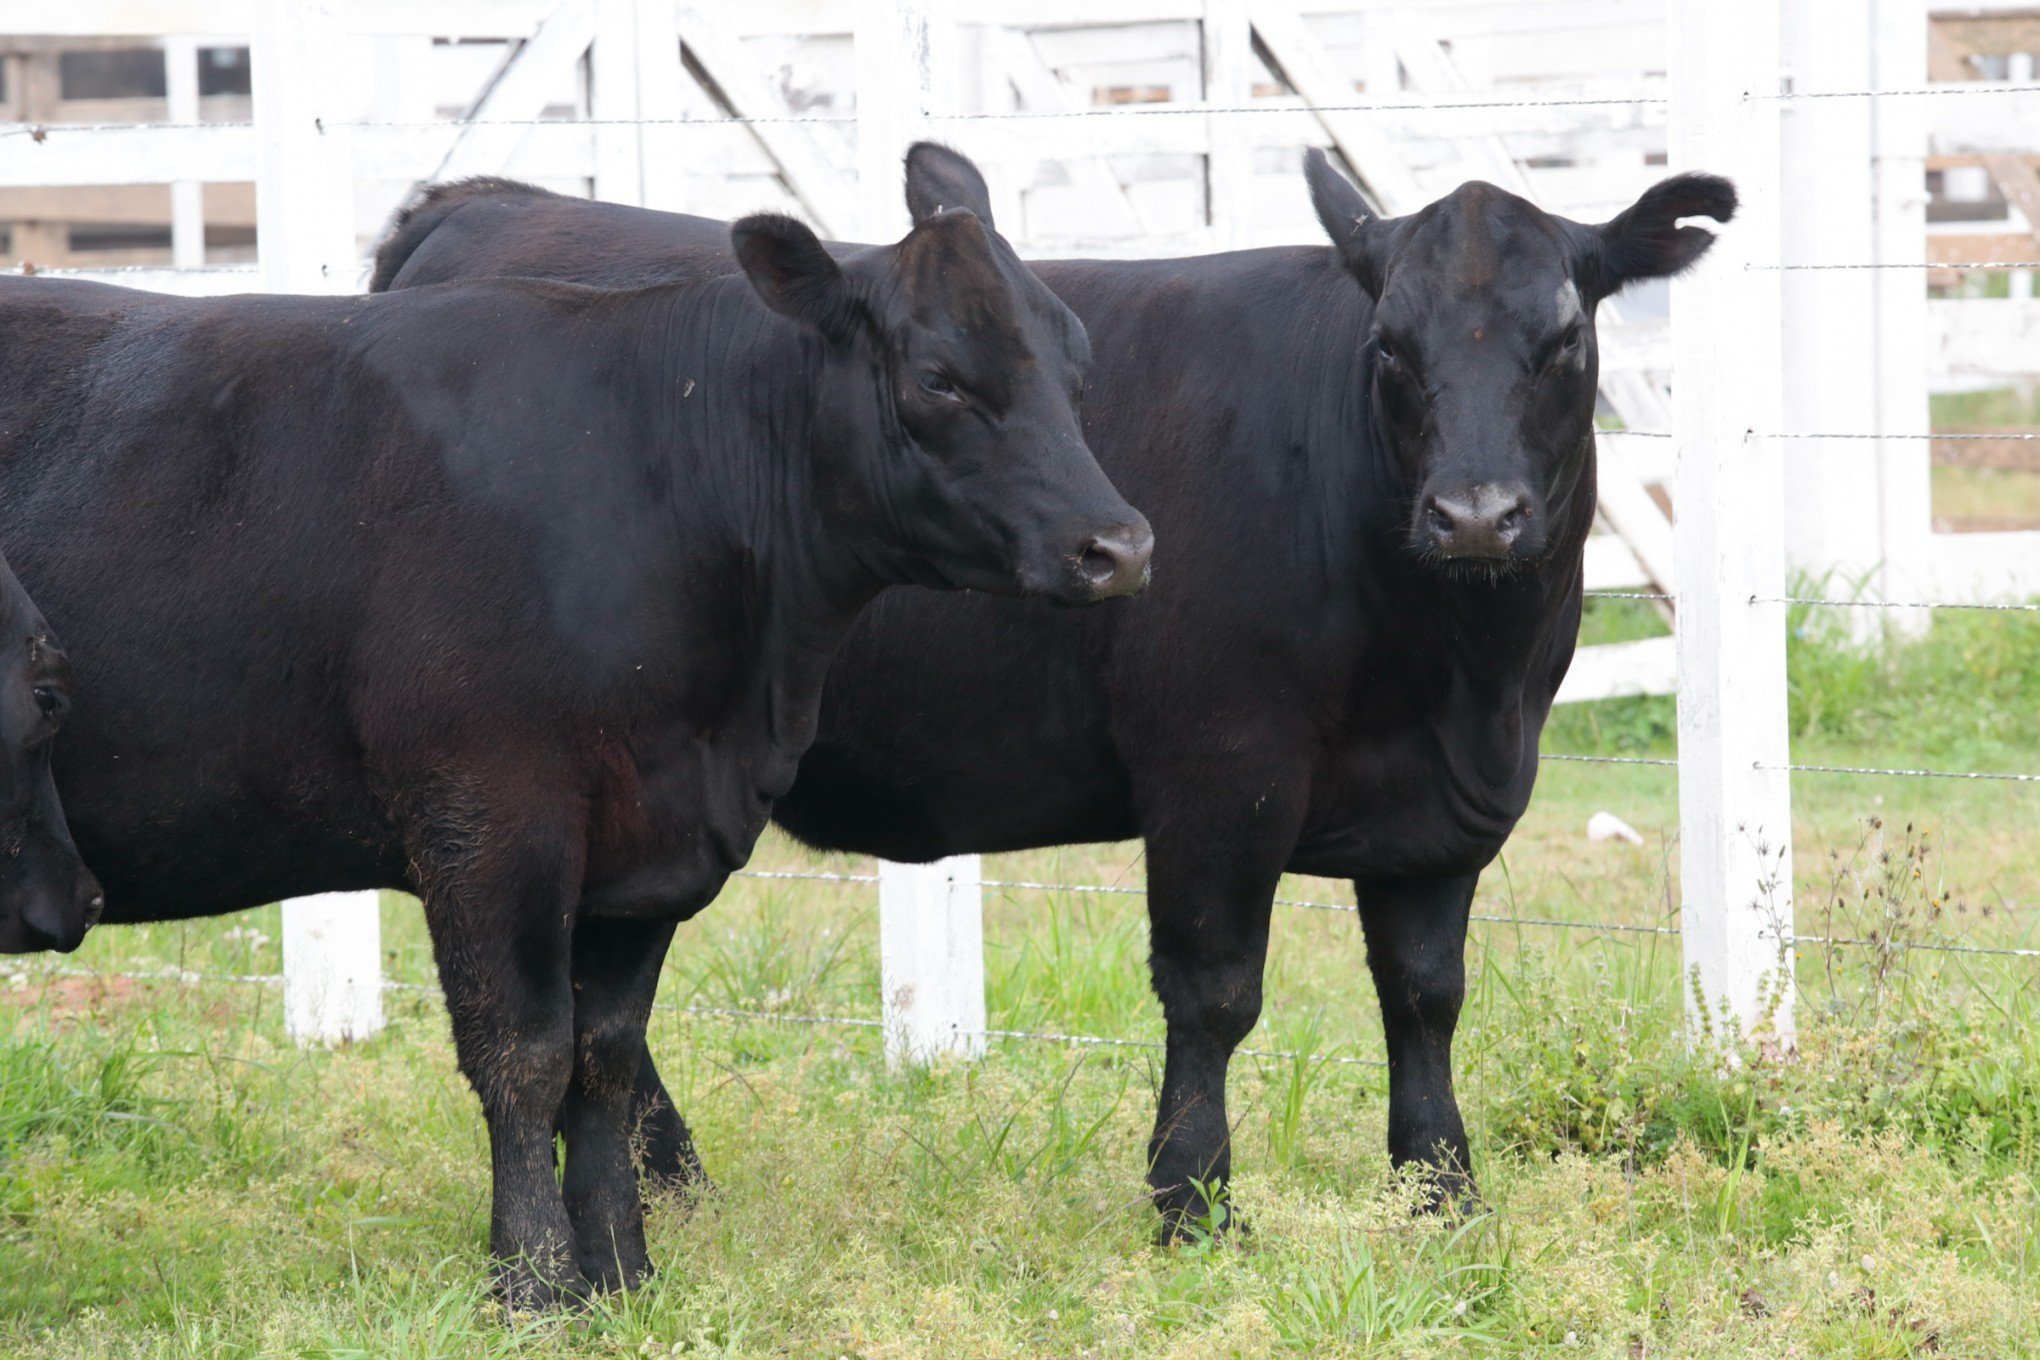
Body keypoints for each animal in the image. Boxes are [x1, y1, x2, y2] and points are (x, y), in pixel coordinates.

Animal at [0, 151, 1150, 1304]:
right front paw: (535, 1283)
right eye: (939, 378)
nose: (1119, 546)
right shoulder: (491, 816)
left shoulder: (649, 841)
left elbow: (604, 1051)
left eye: (1078, 366)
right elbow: (523, 1053)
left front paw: (623, 1272)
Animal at [375, 146, 1729, 1231]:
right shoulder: (1218, 767)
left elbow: (1427, 995)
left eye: (1568, 340)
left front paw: (1443, 1195)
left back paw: (676, 1183)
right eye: (1389, 348)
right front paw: (1193, 1205)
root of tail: (486, 199)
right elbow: (1215, 991)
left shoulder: (1446, 810)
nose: (1474, 513)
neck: (1460, 675)